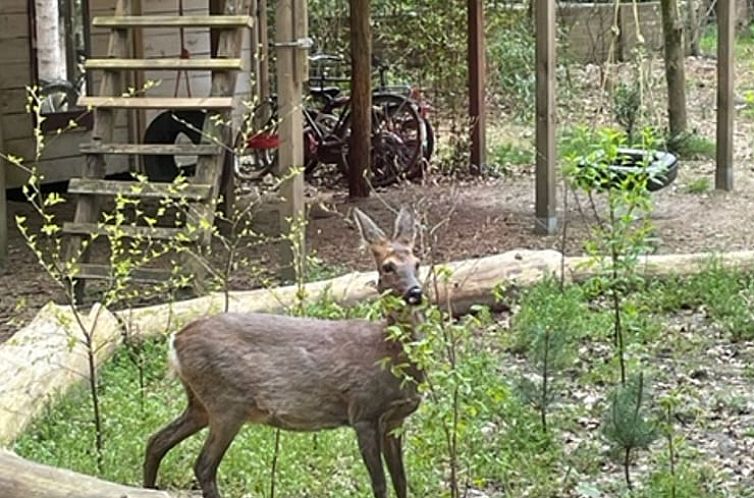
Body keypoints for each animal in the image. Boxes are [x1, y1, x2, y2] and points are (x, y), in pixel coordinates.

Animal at [142, 208, 424, 498]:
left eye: (417, 262)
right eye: (388, 266)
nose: (416, 292)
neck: (388, 355)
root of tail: (175, 341)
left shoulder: (395, 420)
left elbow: (401, 481)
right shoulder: (363, 411)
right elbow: (380, 484)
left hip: (200, 403)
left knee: (156, 441)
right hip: (226, 402)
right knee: (203, 465)